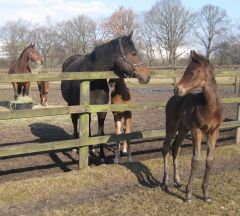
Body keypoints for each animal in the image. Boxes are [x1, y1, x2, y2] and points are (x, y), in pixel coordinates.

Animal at [61, 33, 149, 162]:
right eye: (134, 53)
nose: (147, 76)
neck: (93, 81)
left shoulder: (101, 111)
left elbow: (101, 133)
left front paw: (101, 156)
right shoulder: (84, 109)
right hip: (72, 104)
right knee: (74, 122)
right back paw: (76, 148)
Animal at [162, 50, 224, 202]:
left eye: (192, 72)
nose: (177, 89)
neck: (210, 108)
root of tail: (173, 99)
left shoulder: (214, 131)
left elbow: (209, 160)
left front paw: (206, 194)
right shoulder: (197, 131)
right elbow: (195, 160)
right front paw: (188, 194)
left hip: (184, 129)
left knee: (175, 147)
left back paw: (177, 181)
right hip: (171, 126)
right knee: (166, 148)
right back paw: (165, 183)